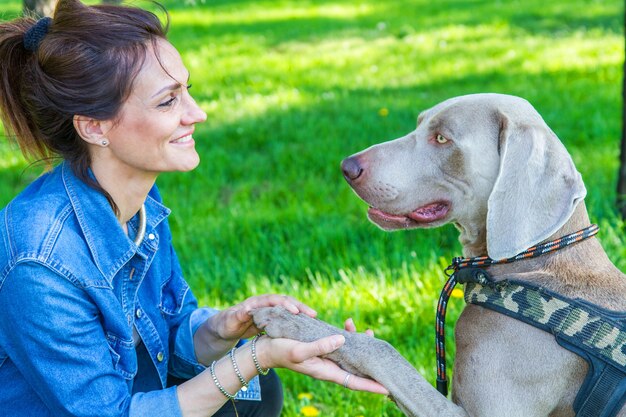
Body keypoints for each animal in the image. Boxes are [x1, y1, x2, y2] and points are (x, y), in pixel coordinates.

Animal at [250, 94, 624, 416]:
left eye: (442, 138)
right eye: (419, 124)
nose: (347, 166)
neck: (532, 264)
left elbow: (384, 351)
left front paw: (289, 320)